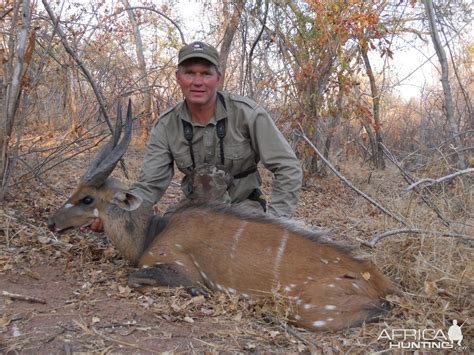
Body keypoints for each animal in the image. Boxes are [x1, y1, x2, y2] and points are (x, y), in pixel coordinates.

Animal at [49, 99, 396, 330]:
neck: (151, 233)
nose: (52, 222)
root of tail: (380, 281)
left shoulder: (179, 268)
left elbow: (139, 278)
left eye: (86, 198)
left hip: (309, 309)